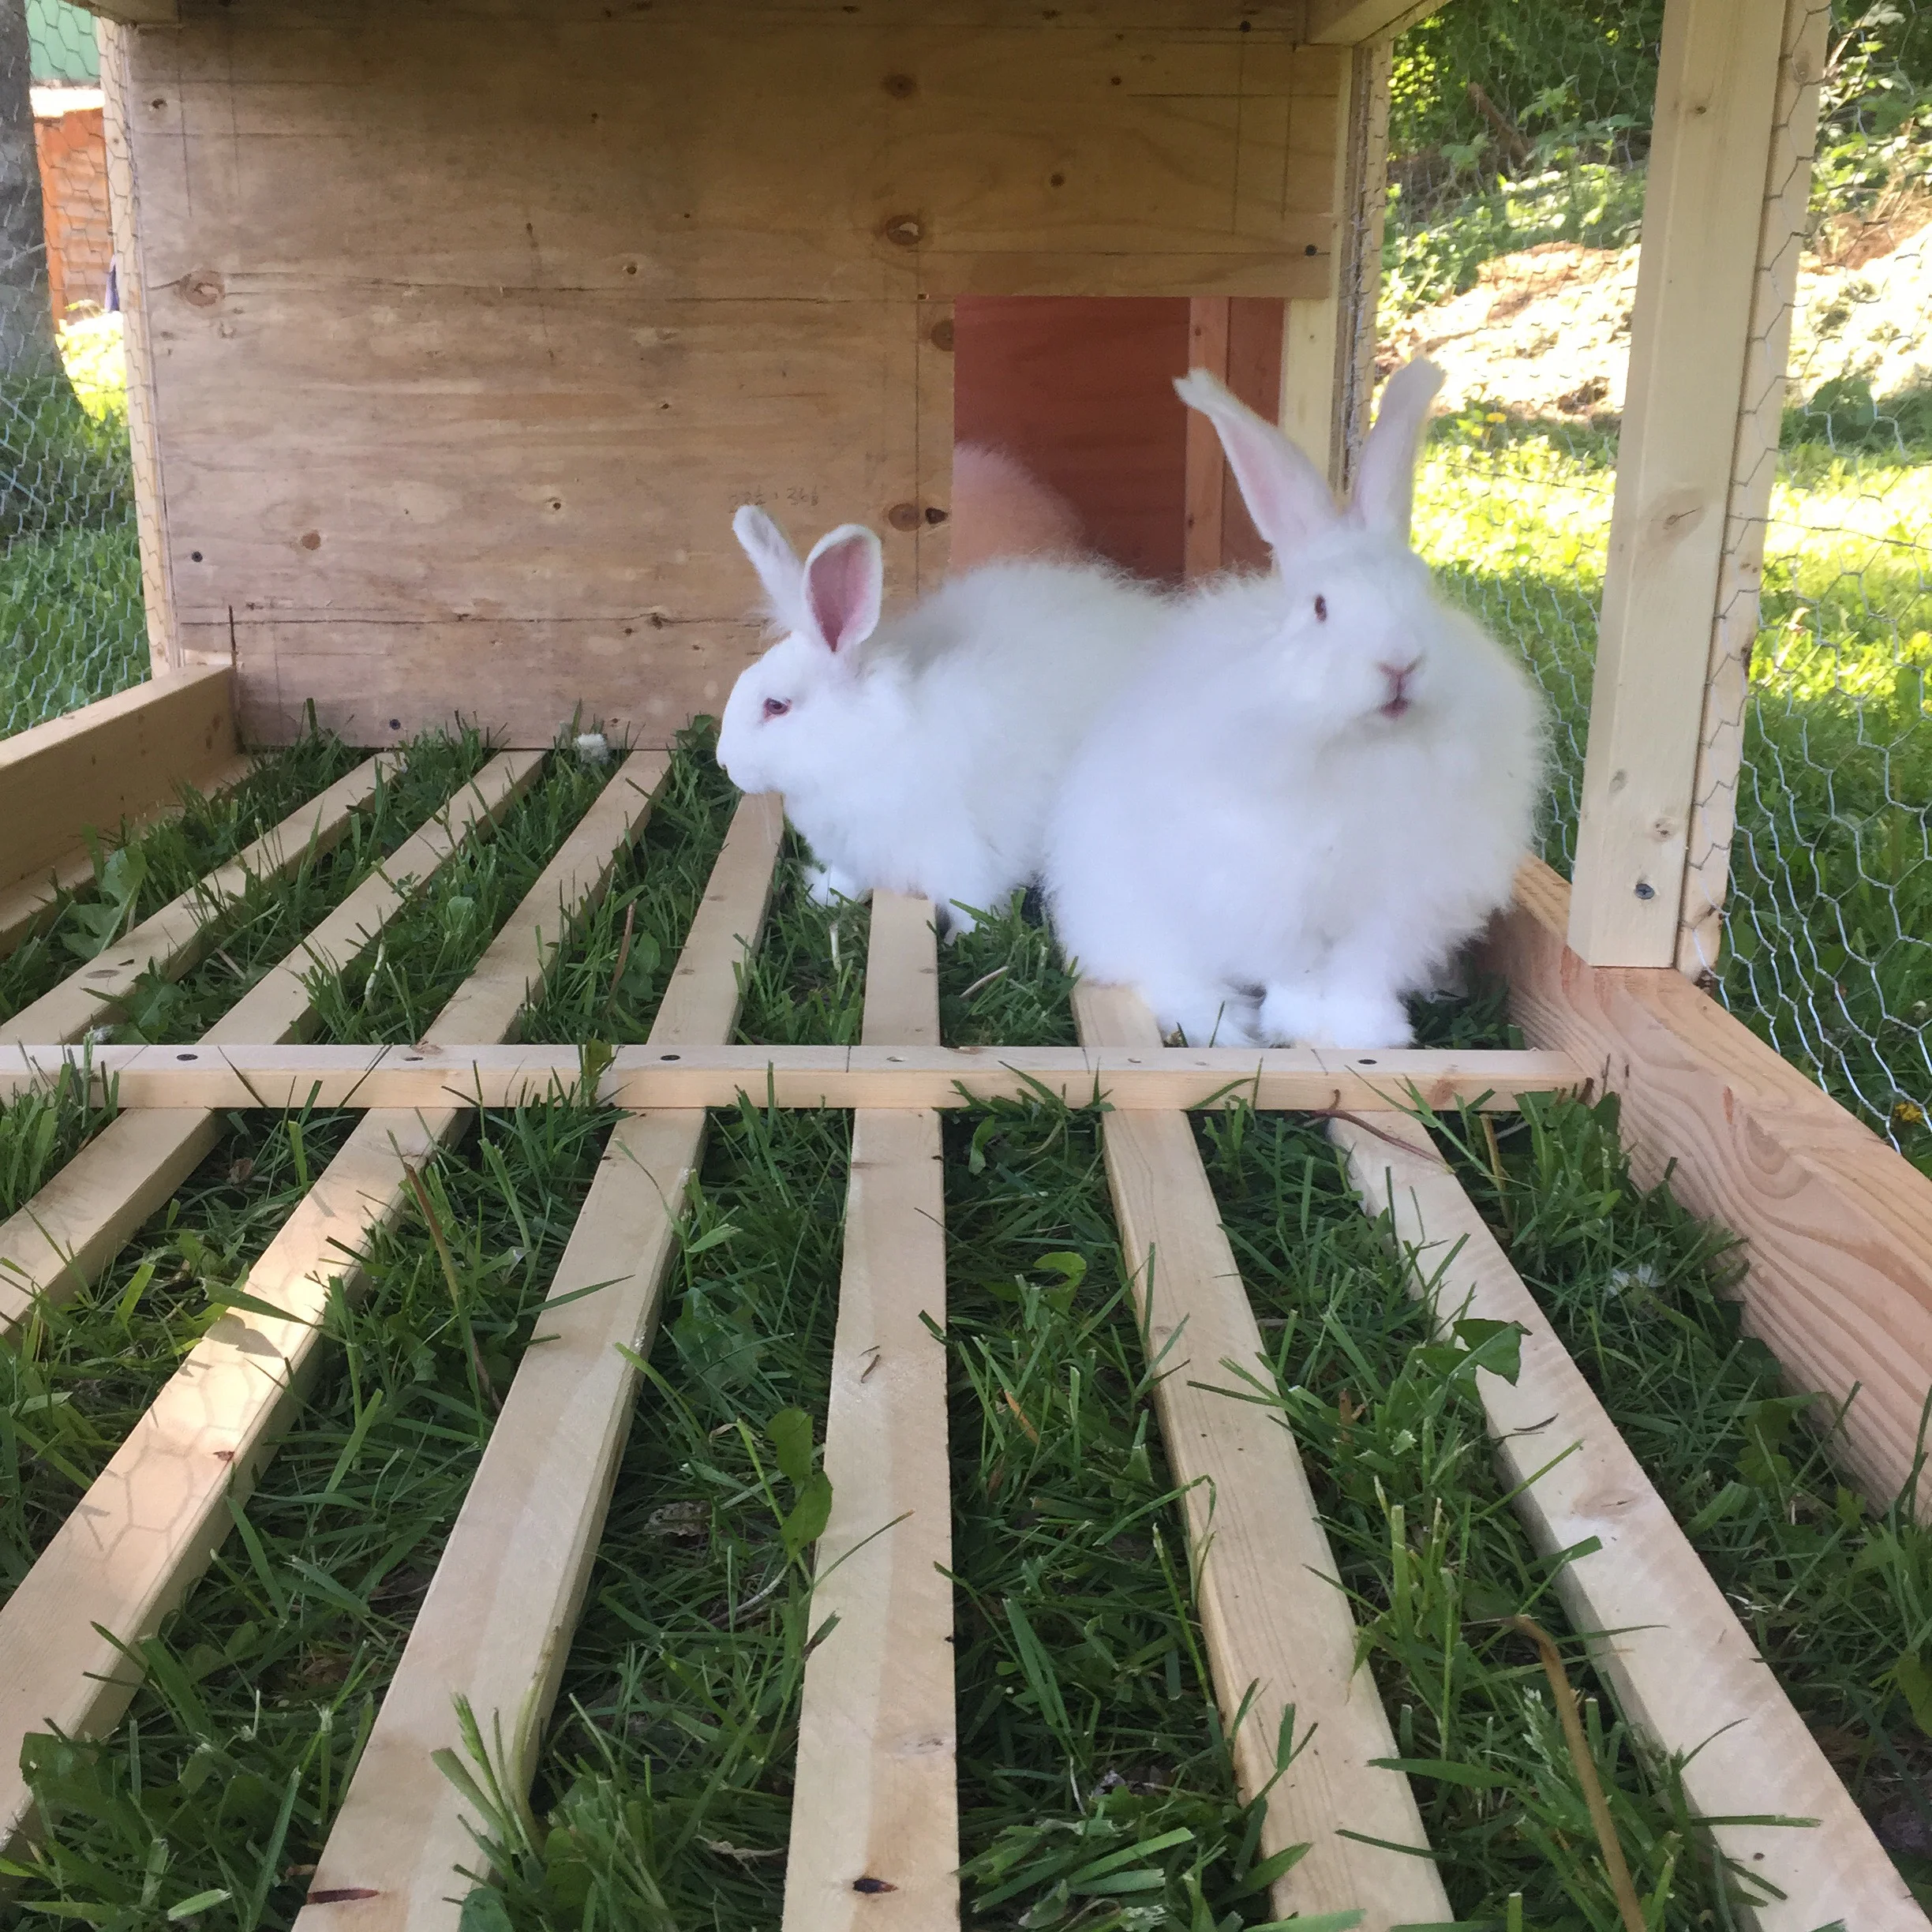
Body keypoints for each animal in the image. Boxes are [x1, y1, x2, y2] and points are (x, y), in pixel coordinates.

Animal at [716, 497, 1169, 935]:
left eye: (776, 706)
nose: (724, 763)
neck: (868, 745)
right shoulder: (856, 858)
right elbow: (845, 882)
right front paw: (818, 897)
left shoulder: (964, 858)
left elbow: (975, 909)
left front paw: (969, 938)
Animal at [1043, 356, 1545, 1049]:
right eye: (1321, 608)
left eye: (1427, 592)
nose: (1400, 662)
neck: (1363, 747)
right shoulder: (1267, 896)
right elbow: (1297, 970)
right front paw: (1300, 1025)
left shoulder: (1401, 902)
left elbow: (1366, 969)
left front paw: (1367, 1034)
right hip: (1131, 913)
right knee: (1162, 976)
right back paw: (1222, 1026)